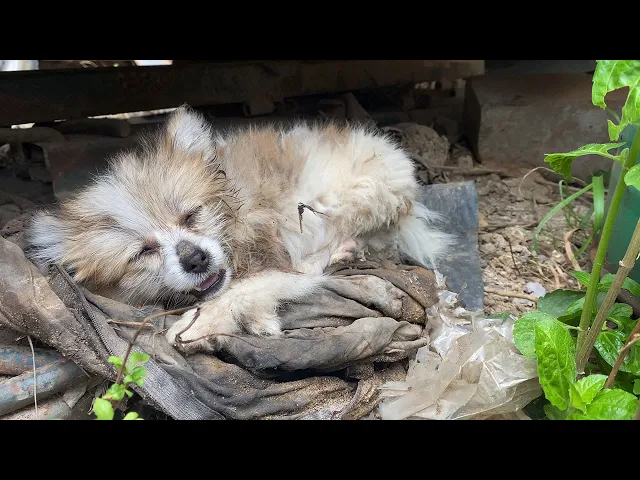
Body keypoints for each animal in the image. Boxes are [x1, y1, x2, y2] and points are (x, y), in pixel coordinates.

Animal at [25, 105, 454, 354]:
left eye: (191, 216)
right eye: (143, 251)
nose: (196, 258)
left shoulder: (276, 259)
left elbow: (242, 290)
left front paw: (200, 323)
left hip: (340, 194)